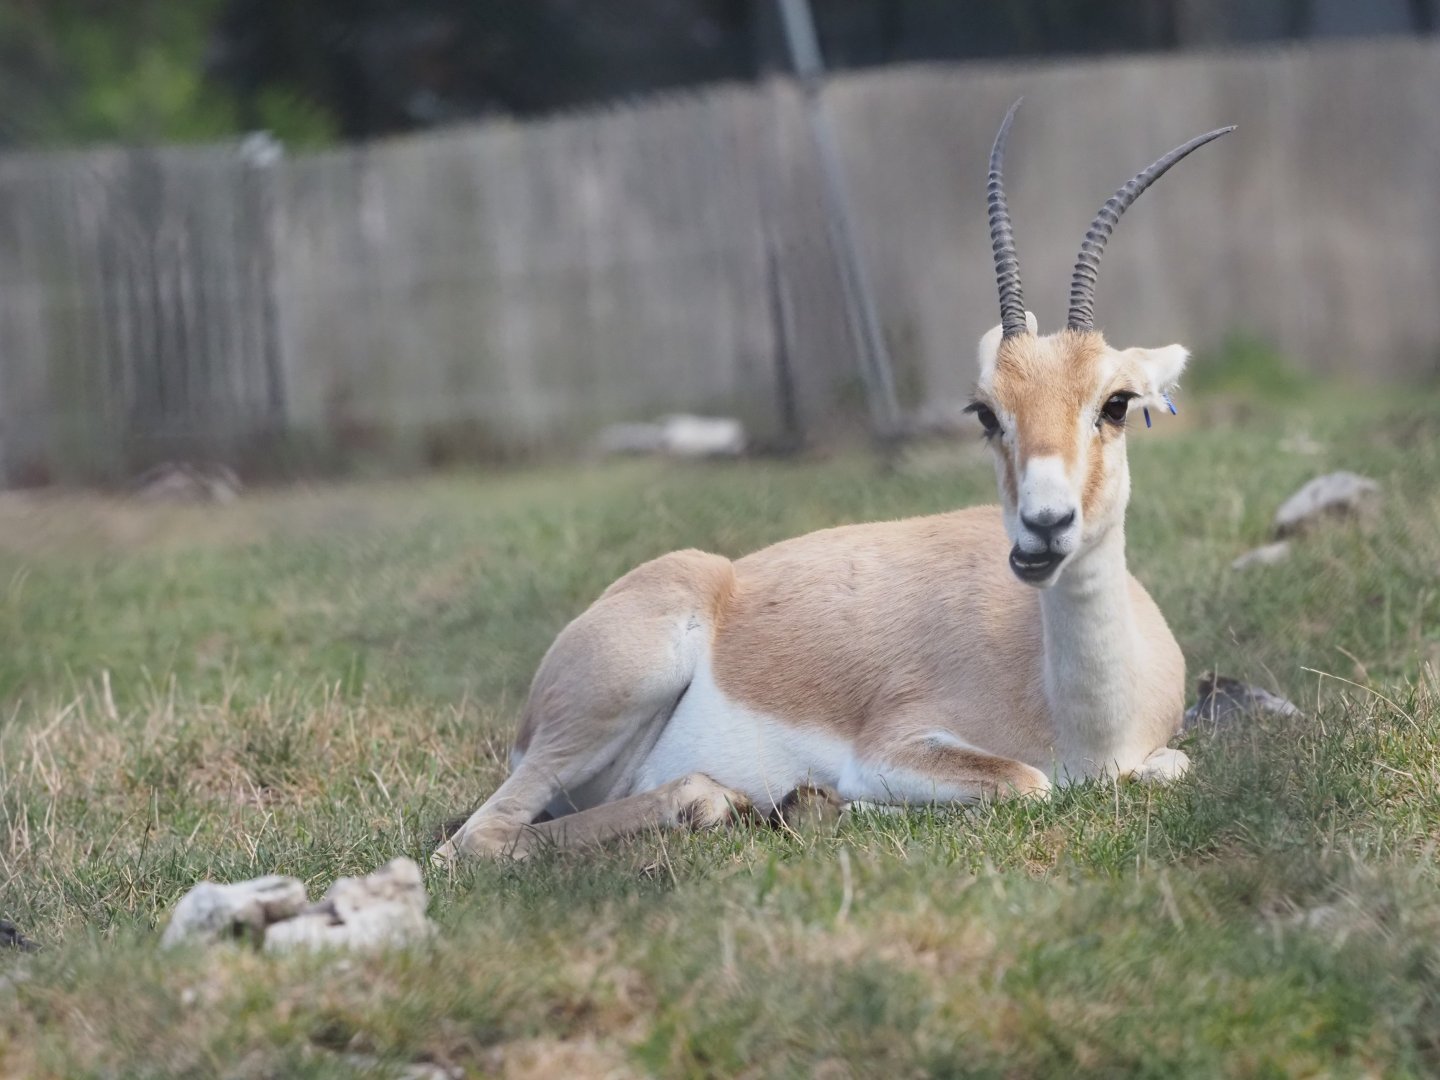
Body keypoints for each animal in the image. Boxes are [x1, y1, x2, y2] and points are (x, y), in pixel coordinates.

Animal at [434, 103, 1234, 862]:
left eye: (1116, 403)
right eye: (985, 411)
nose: (1044, 526)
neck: (1086, 728)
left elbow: (1173, 766)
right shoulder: (895, 749)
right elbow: (1025, 783)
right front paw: (827, 804)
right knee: (471, 842)